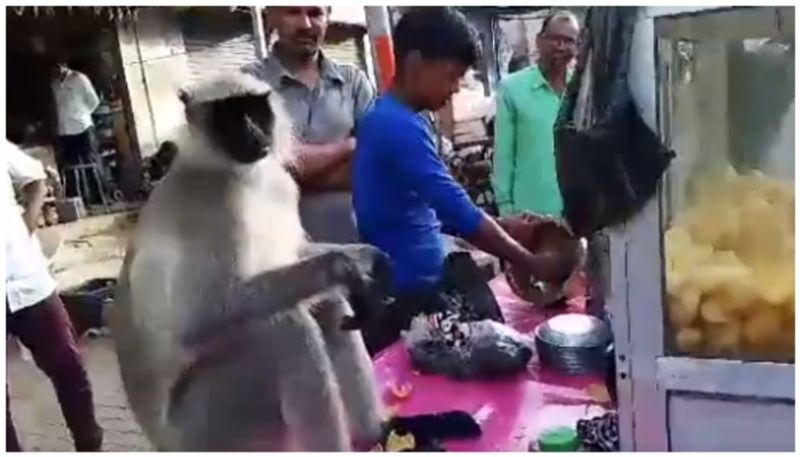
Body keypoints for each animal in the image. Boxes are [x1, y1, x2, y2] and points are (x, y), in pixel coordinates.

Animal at [108, 73, 388, 450]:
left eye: (254, 109)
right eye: (228, 116)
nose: (253, 133)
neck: (238, 174)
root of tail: (165, 442)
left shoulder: (281, 186)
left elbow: (296, 254)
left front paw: (365, 257)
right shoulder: (215, 207)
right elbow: (205, 316)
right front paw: (343, 265)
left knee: (326, 305)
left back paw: (376, 435)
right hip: (209, 425)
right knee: (284, 330)